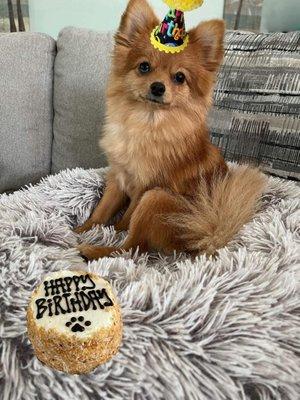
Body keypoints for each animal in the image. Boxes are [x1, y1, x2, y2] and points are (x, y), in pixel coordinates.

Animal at [76, 0, 266, 260]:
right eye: (144, 67)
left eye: (179, 77)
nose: (158, 87)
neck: (146, 123)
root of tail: (204, 235)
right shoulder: (118, 177)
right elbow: (101, 211)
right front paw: (81, 229)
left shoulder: (145, 186)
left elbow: (125, 221)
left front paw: (113, 230)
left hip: (156, 198)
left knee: (132, 248)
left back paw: (94, 249)